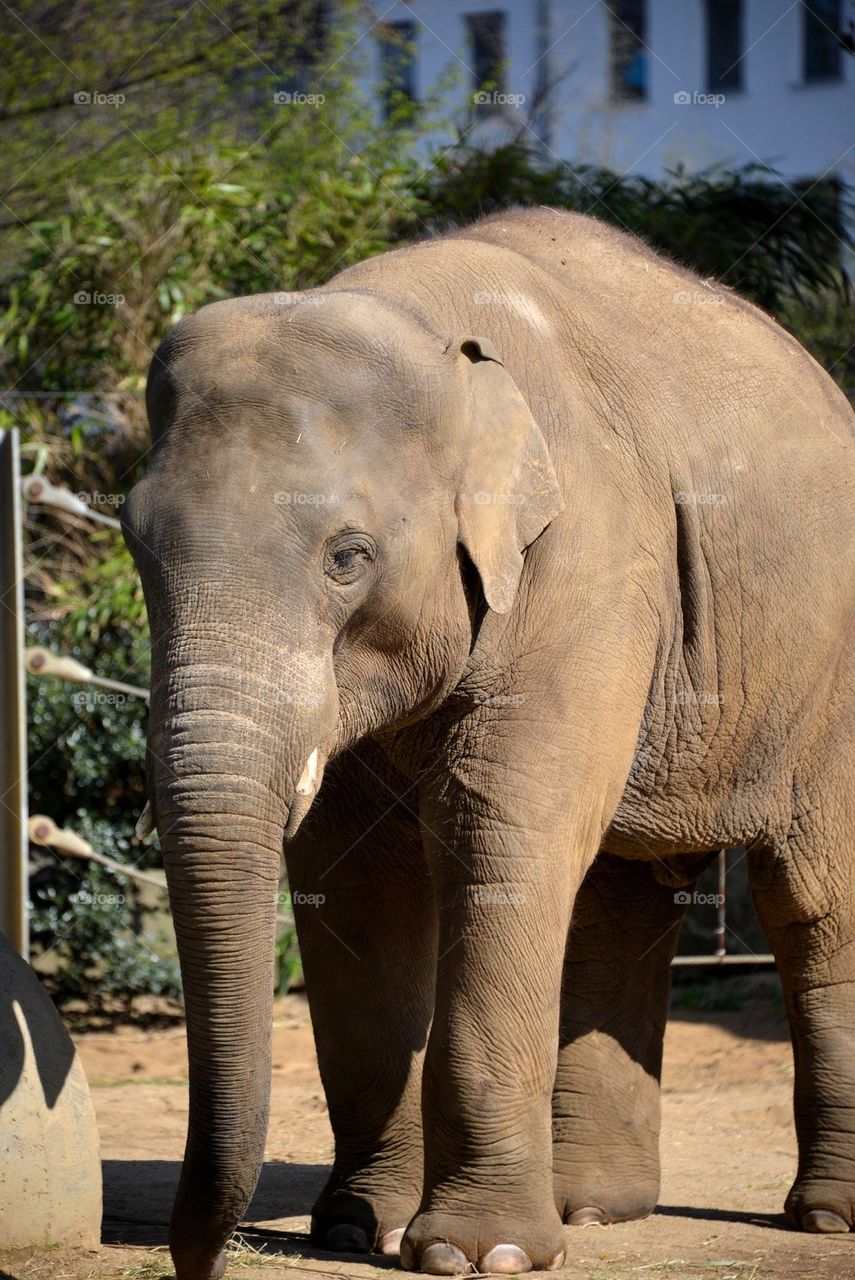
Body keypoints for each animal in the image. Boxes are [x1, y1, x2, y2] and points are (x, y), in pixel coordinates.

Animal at [121, 207, 855, 1280]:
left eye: (348, 558)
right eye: (134, 545)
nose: (204, 1261)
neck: (429, 332)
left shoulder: (589, 556)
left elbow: (495, 826)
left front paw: (478, 1254)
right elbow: (355, 873)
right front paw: (358, 1230)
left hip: (825, 681)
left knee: (811, 901)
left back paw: (824, 1218)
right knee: (621, 895)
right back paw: (594, 1210)